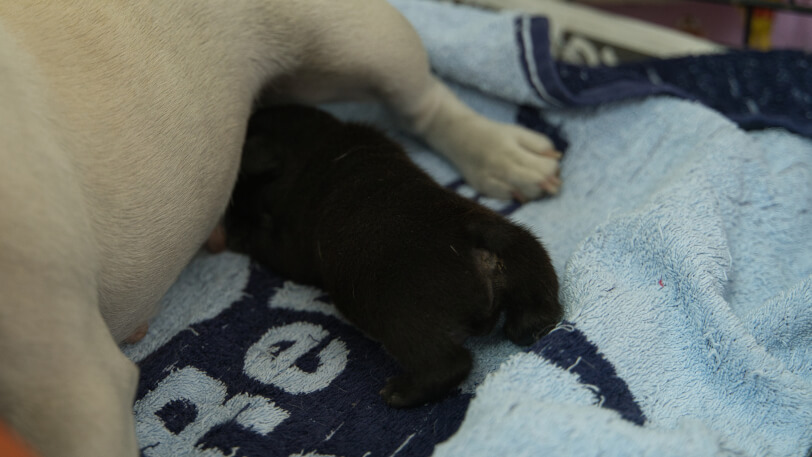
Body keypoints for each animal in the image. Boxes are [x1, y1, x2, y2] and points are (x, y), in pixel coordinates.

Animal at [225, 106, 560, 406]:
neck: (318, 143)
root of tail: (475, 243)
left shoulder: (290, 248)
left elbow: (266, 245)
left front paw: (238, 233)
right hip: (526, 251)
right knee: (541, 302)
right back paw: (531, 325)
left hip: (404, 321)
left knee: (448, 364)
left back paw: (402, 392)